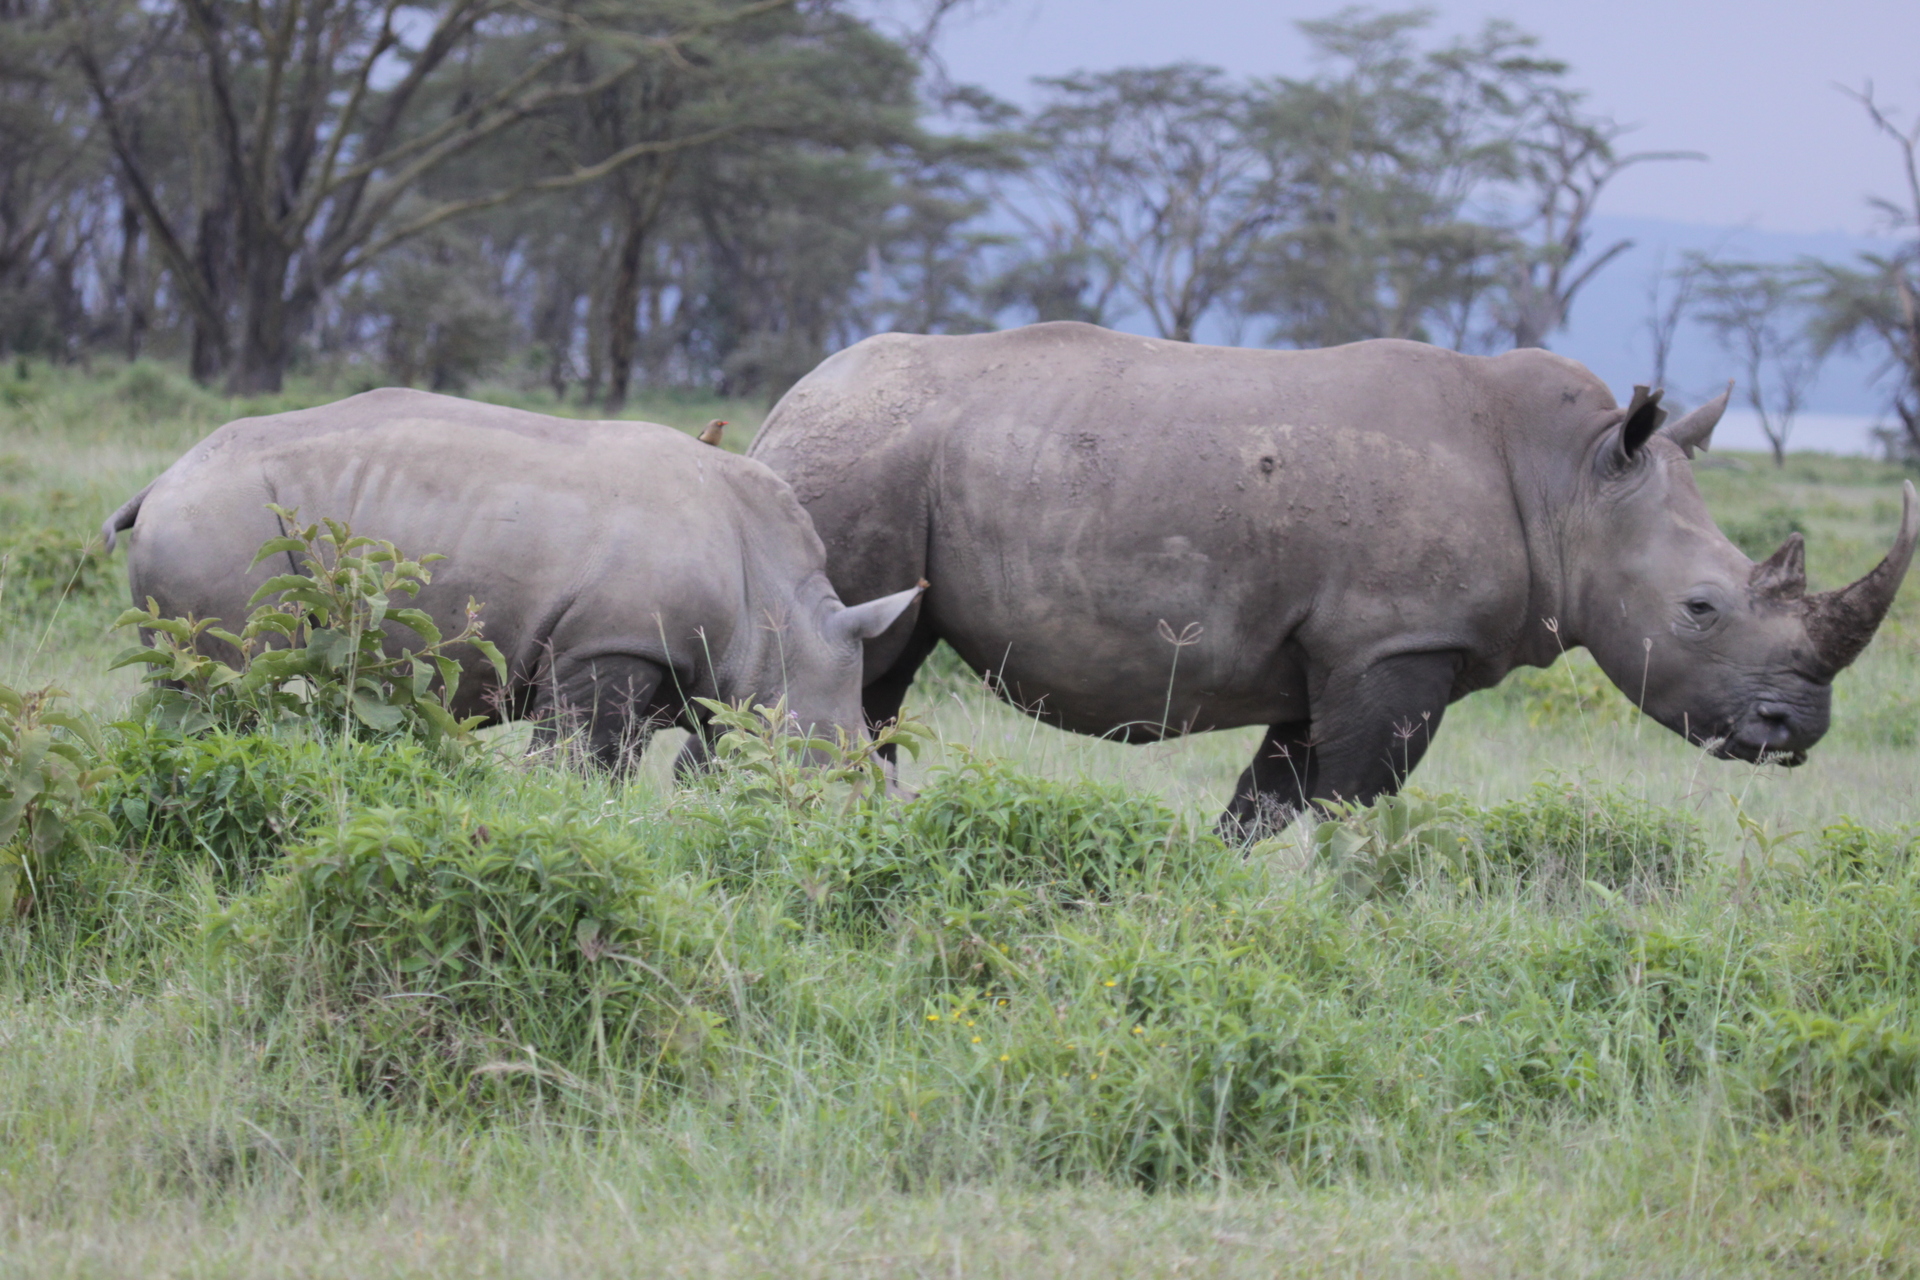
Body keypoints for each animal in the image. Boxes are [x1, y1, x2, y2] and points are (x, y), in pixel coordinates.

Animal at [102, 388, 920, 766]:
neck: (782, 609)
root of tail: (160, 481)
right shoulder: (609, 644)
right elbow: (580, 762)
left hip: (210, 519)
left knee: (186, 681)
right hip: (219, 521)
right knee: (236, 680)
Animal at [748, 322, 1918, 834]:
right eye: (1701, 609)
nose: (1796, 729)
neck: (1572, 479)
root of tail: (788, 400)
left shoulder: (1337, 651)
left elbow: (1269, 801)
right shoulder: (1398, 641)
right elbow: (1354, 800)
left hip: (881, 455)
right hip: (864, 461)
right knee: (861, 668)